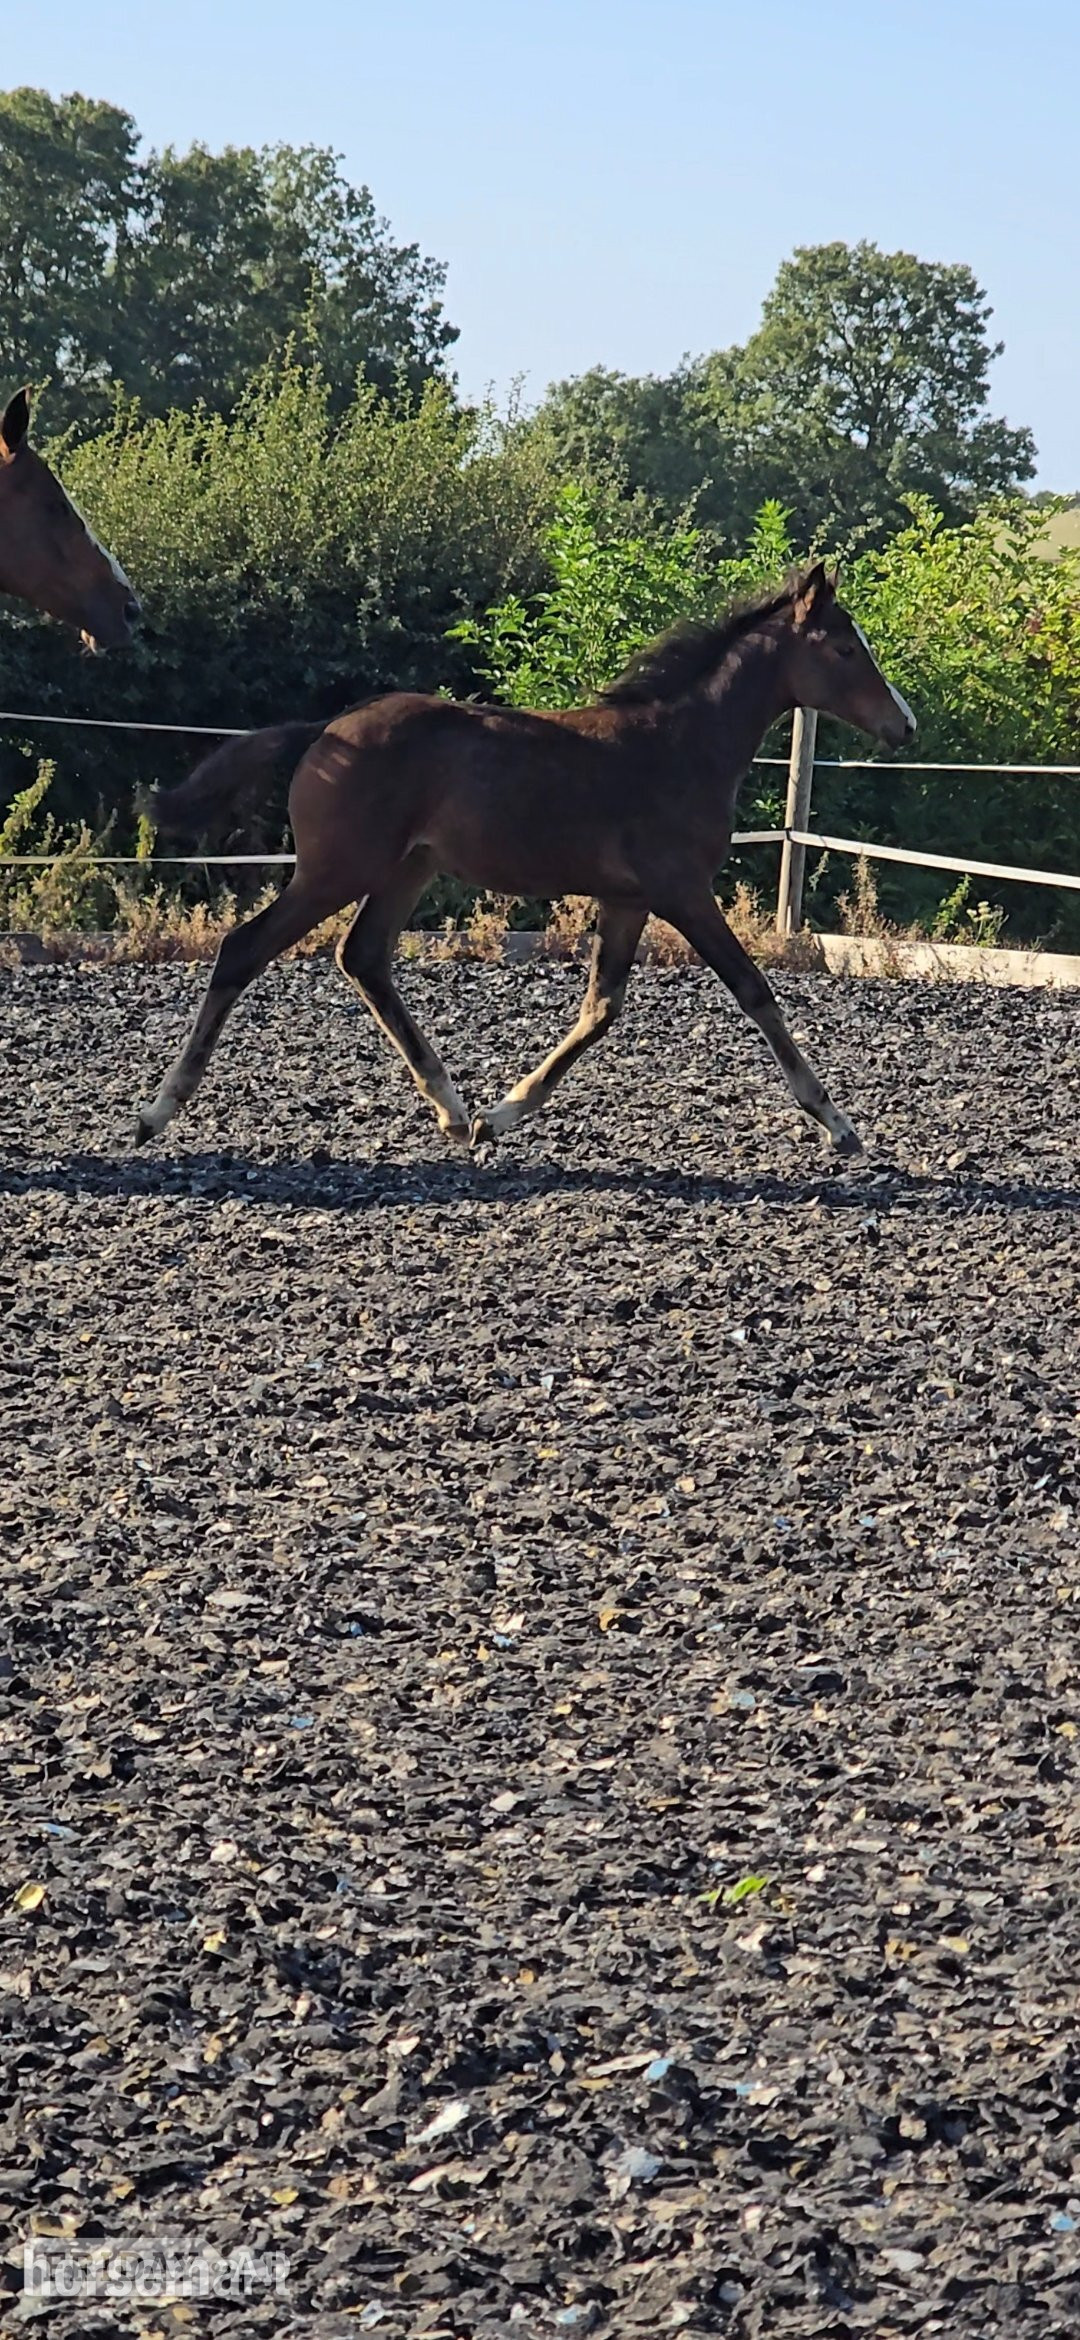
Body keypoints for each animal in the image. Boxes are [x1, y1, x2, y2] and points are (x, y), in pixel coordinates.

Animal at [135, 564, 914, 1158]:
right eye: (846, 650)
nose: (903, 724)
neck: (681, 744)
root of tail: (326, 728)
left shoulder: (628, 899)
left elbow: (600, 1008)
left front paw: (501, 1113)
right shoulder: (682, 891)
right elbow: (754, 991)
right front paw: (838, 1123)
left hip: (407, 869)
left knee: (364, 957)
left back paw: (453, 1110)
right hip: (336, 871)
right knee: (245, 949)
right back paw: (157, 1111)